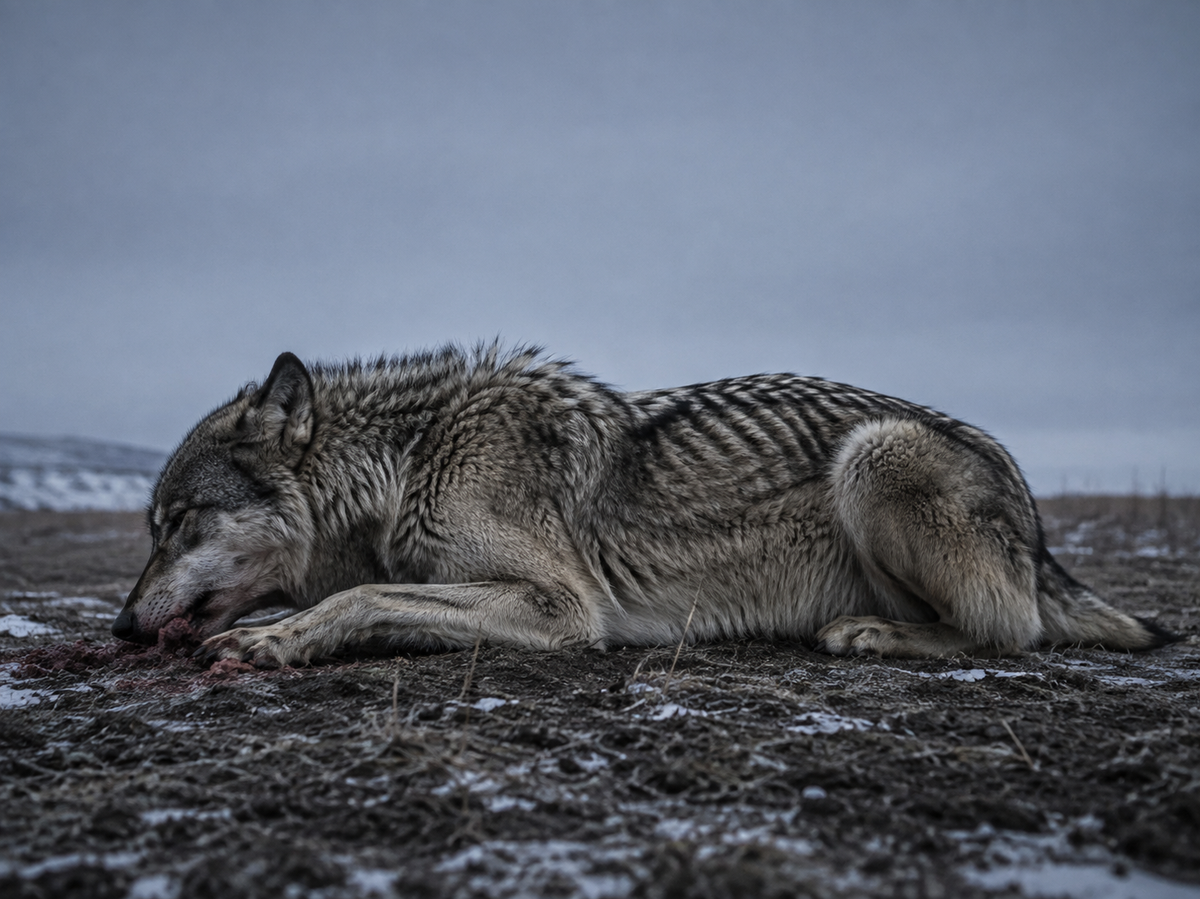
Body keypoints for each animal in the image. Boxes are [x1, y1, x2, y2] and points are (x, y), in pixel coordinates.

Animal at [113, 345, 1172, 666]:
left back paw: (866, 634)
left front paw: (274, 639)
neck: (409, 462)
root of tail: (1037, 525)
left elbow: (358, 596)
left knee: (1012, 629)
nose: (121, 627)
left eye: (178, 522)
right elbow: (365, 591)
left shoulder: (563, 607)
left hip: (875, 455)